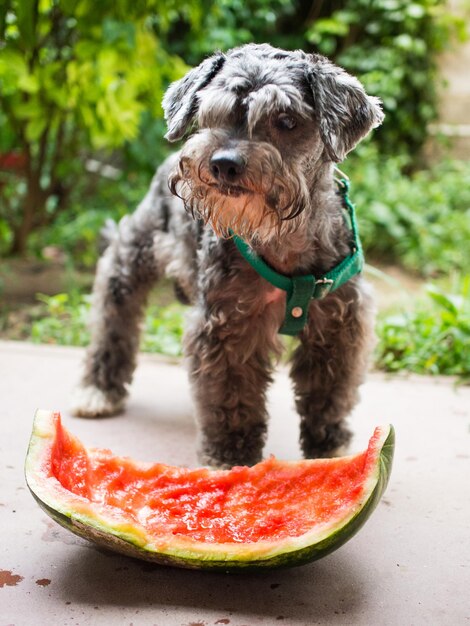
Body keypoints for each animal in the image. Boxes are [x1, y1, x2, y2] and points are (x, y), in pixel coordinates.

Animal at [70, 44, 386, 468]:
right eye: (210, 114)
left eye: (286, 120)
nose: (222, 163)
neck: (281, 235)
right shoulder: (227, 325)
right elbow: (231, 395)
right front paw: (231, 455)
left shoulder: (339, 323)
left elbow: (329, 391)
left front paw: (328, 445)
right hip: (129, 260)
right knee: (113, 317)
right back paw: (98, 389)